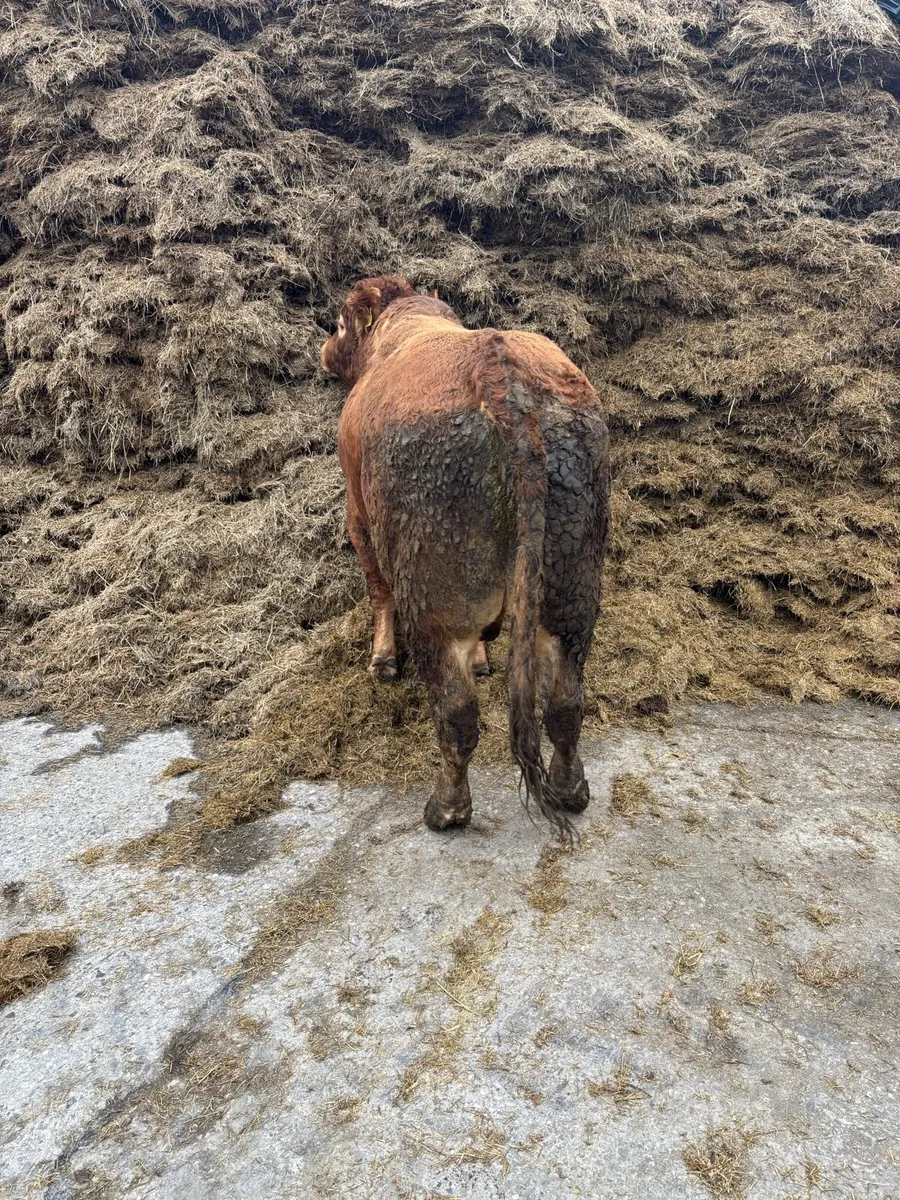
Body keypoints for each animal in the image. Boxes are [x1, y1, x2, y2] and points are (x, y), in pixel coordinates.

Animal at [320, 276, 610, 839]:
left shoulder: (358, 514)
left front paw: (383, 659)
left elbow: (377, 590)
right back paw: (570, 789)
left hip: (434, 596)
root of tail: (497, 370)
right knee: (566, 702)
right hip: (572, 585)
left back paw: (447, 808)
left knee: (457, 716)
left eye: (340, 323)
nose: (323, 349)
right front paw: (482, 658)